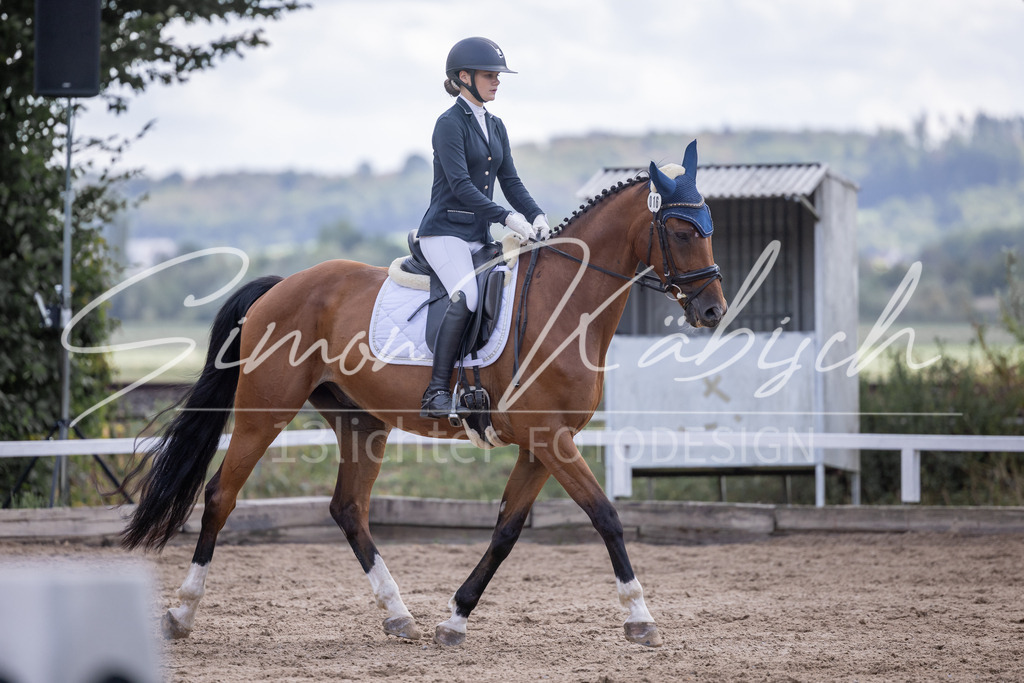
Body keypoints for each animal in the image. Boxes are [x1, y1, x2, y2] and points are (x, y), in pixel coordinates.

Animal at [121, 141, 727, 648]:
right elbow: (605, 515)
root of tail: (283, 284)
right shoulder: (551, 439)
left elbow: (507, 529)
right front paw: (640, 618)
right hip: (263, 412)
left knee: (348, 508)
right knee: (221, 495)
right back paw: (181, 614)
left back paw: (399, 615)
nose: (712, 310)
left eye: (709, 226)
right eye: (680, 232)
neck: (565, 302)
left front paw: (455, 619)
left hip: (360, 422)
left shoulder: (542, 446)